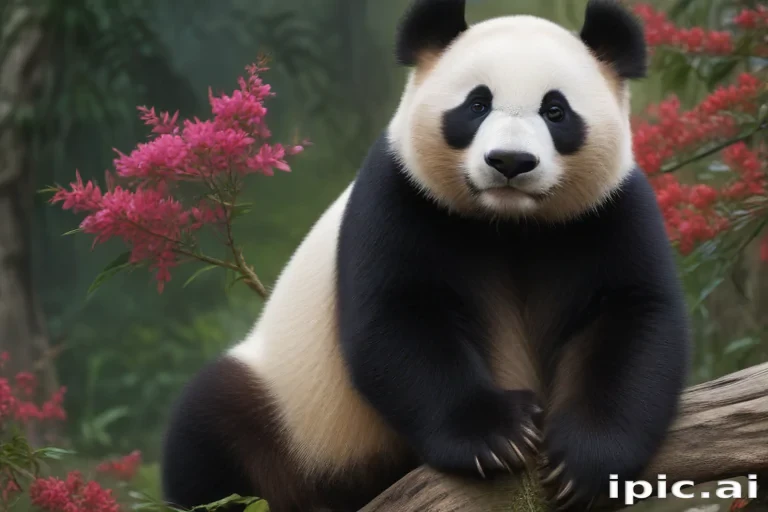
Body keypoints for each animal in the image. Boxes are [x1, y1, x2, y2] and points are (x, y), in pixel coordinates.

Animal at [160, 1, 691, 511]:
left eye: (555, 110)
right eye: (477, 104)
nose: (510, 162)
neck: (510, 223)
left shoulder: (607, 211)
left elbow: (631, 319)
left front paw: (584, 462)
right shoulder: (401, 194)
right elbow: (399, 320)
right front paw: (495, 435)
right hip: (290, 410)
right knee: (209, 435)